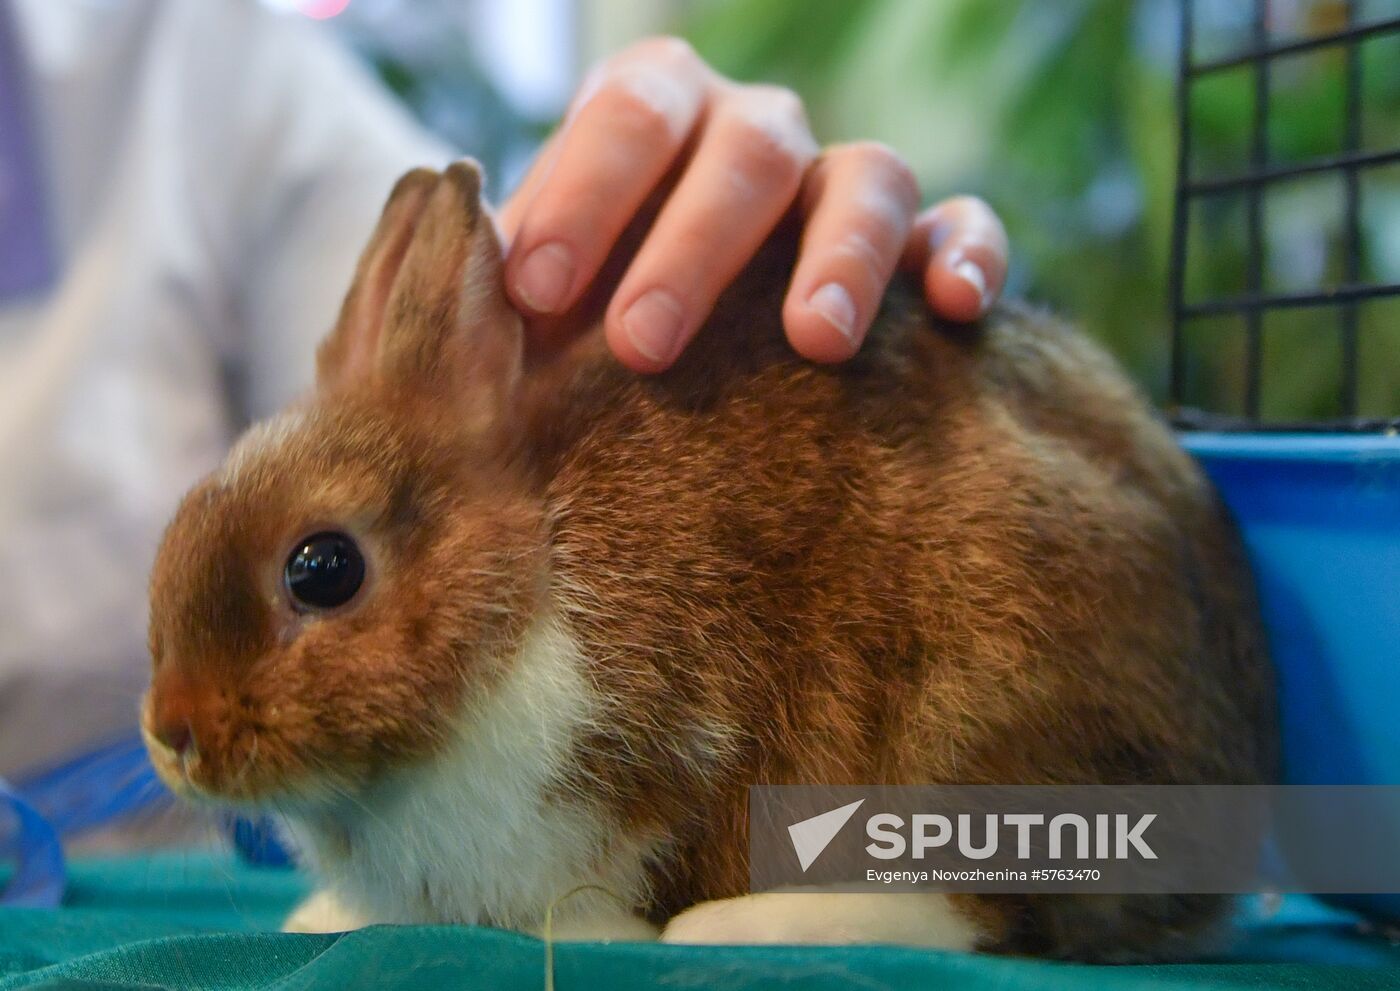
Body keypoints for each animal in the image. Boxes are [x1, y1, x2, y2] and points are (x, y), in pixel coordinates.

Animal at [144, 160, 1282, 957]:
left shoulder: (656, 762)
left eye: (322, 568)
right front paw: (320, 915)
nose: (175, 734)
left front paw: (598, 930)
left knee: (986, 911)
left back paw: (746, 925)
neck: (527, 584)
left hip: (989, 708)